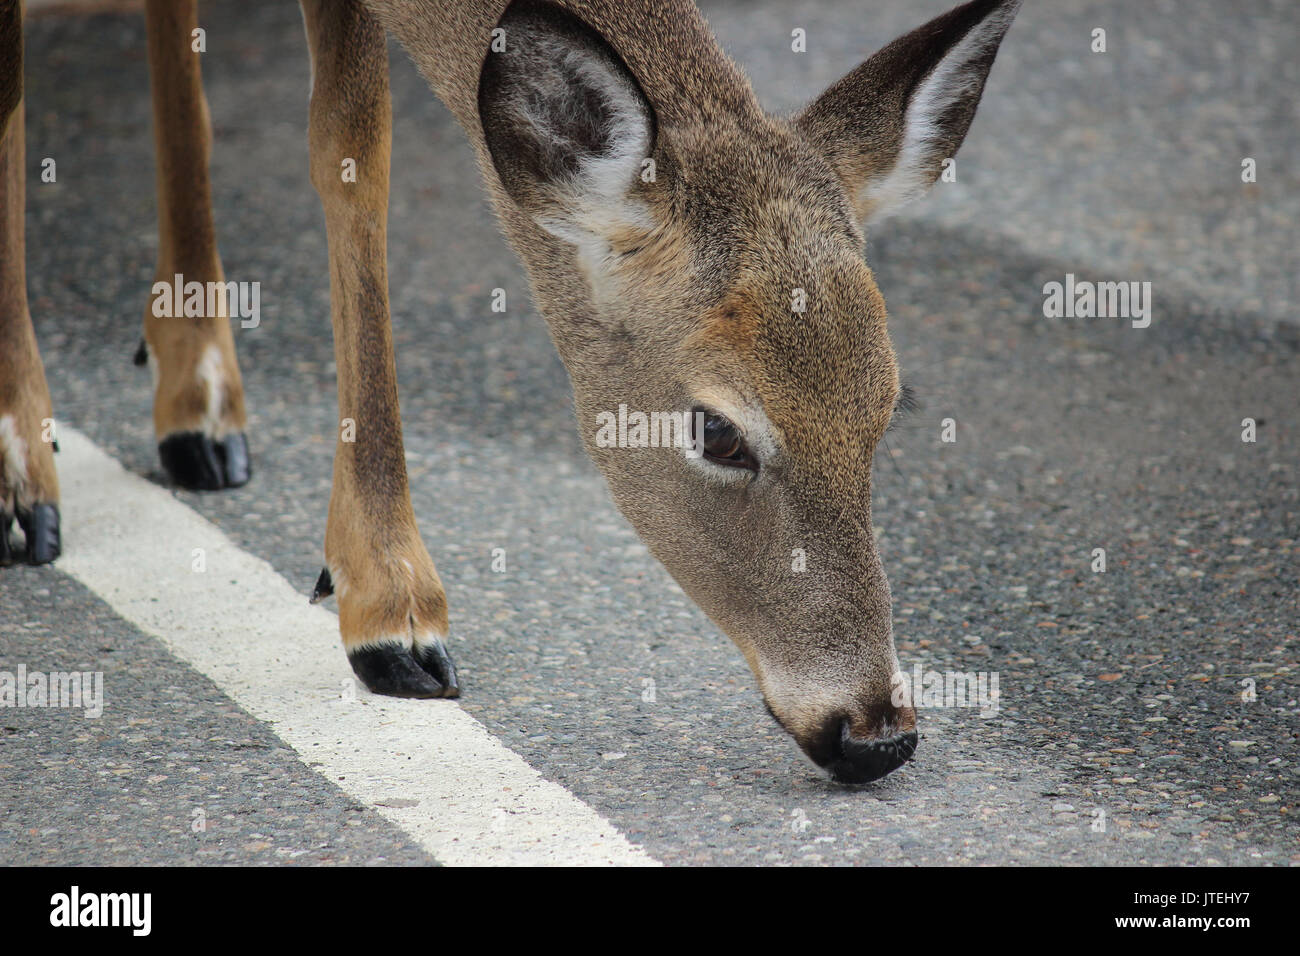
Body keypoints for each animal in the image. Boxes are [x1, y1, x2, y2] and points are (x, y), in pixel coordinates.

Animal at [5, 0, 1024, 780]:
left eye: (886, 409)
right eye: (719, 432)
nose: (875, 732)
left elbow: (352, 140)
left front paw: (378, 591)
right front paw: (20, 479)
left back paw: (200, 398)